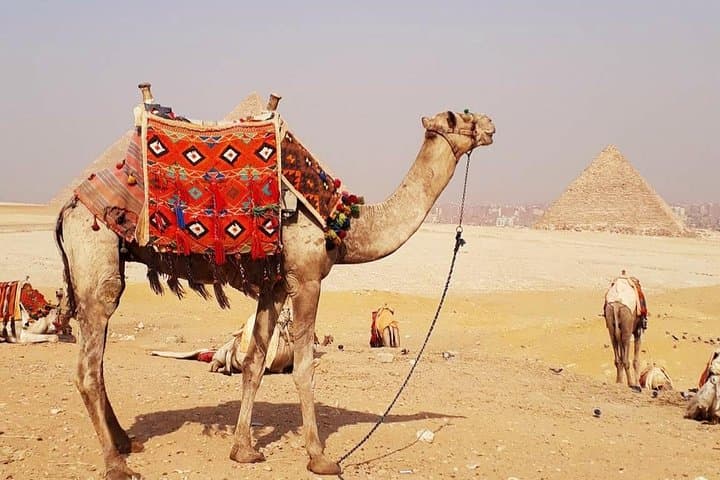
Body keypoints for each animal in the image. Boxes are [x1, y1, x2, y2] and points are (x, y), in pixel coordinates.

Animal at [54, 93, 495, 478]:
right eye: (458, 116)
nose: (490, 125)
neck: (342, 225)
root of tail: (69, 207)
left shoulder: (274, 286)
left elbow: (254, 363)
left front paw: (244, 449)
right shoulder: (307, 280)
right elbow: (304, 366)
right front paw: (319, 457)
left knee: (97, 361)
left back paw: (125, 441)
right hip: (96, 258)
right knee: (87, 369)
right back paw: (116, 464)